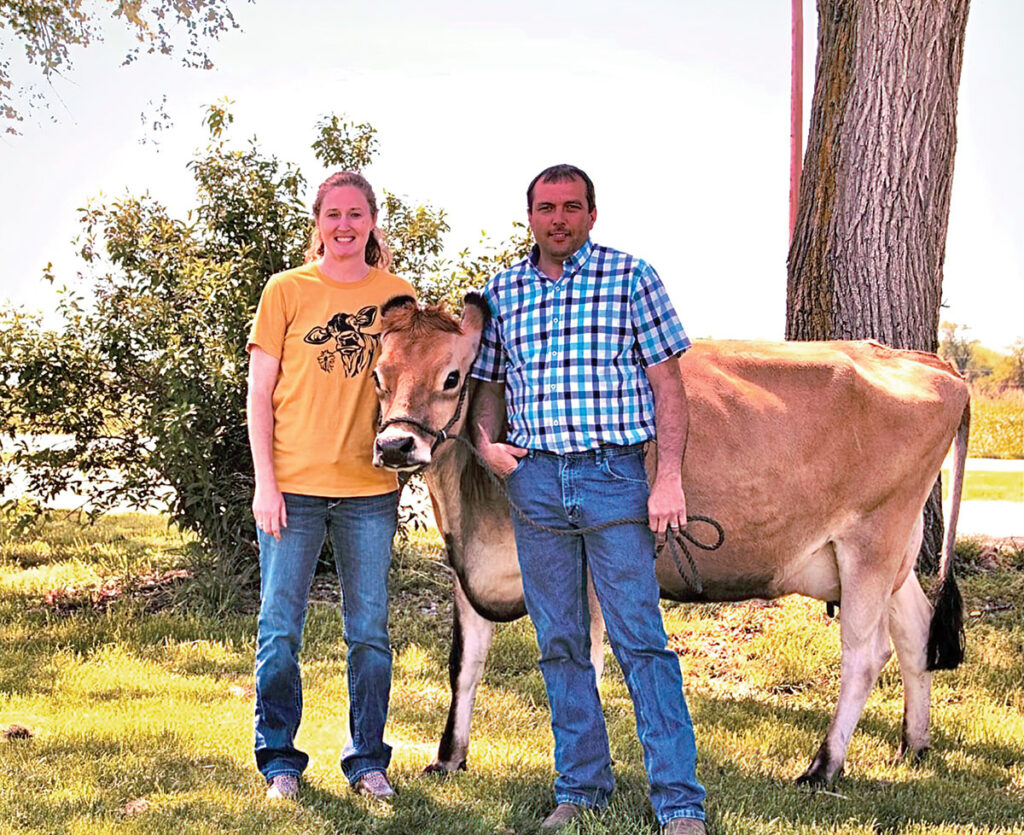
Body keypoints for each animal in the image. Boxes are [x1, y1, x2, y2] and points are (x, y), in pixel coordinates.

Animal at [370, 293, 966, 782]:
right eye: (378, 376)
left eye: (452, 377)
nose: (396, 445)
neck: (470, 503)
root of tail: (932, 362)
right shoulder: (467, 568)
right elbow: (464, 663)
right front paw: (448, 758)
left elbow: (587, 661)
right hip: (893, 553)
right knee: (915, 631)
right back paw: (913, 745)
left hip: (871, 540)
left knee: (864, 653)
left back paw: (823, 767)